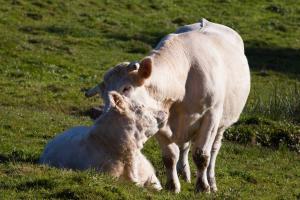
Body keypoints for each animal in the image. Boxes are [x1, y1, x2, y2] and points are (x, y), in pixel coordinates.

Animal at [85, 19, 250, 194]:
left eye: (126, 88)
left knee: (213, 150)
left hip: (222, 124)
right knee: (184, 147)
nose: (111, 114)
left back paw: (211, 182)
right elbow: (170, 157)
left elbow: (201, 155)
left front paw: (203, 187)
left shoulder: (211, 115)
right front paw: (172, 185)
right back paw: (184, 173)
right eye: (104, 95)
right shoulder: (159, 120)